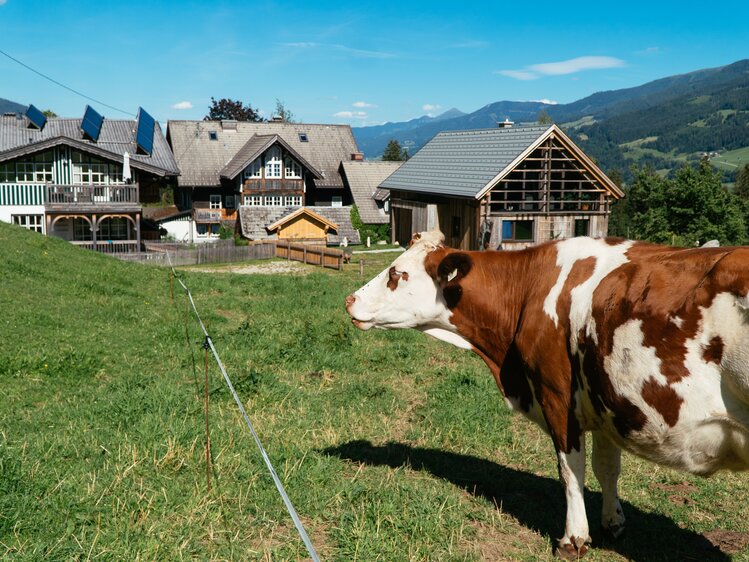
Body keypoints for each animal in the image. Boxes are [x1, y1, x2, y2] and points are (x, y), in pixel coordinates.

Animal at [346, 229, 749, 556]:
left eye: (397, 273)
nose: (350, 300)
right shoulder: (606, 403)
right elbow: (607, 468)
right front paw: (613, 523)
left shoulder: (556, 395)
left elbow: (571, 470)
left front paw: (574, 539)